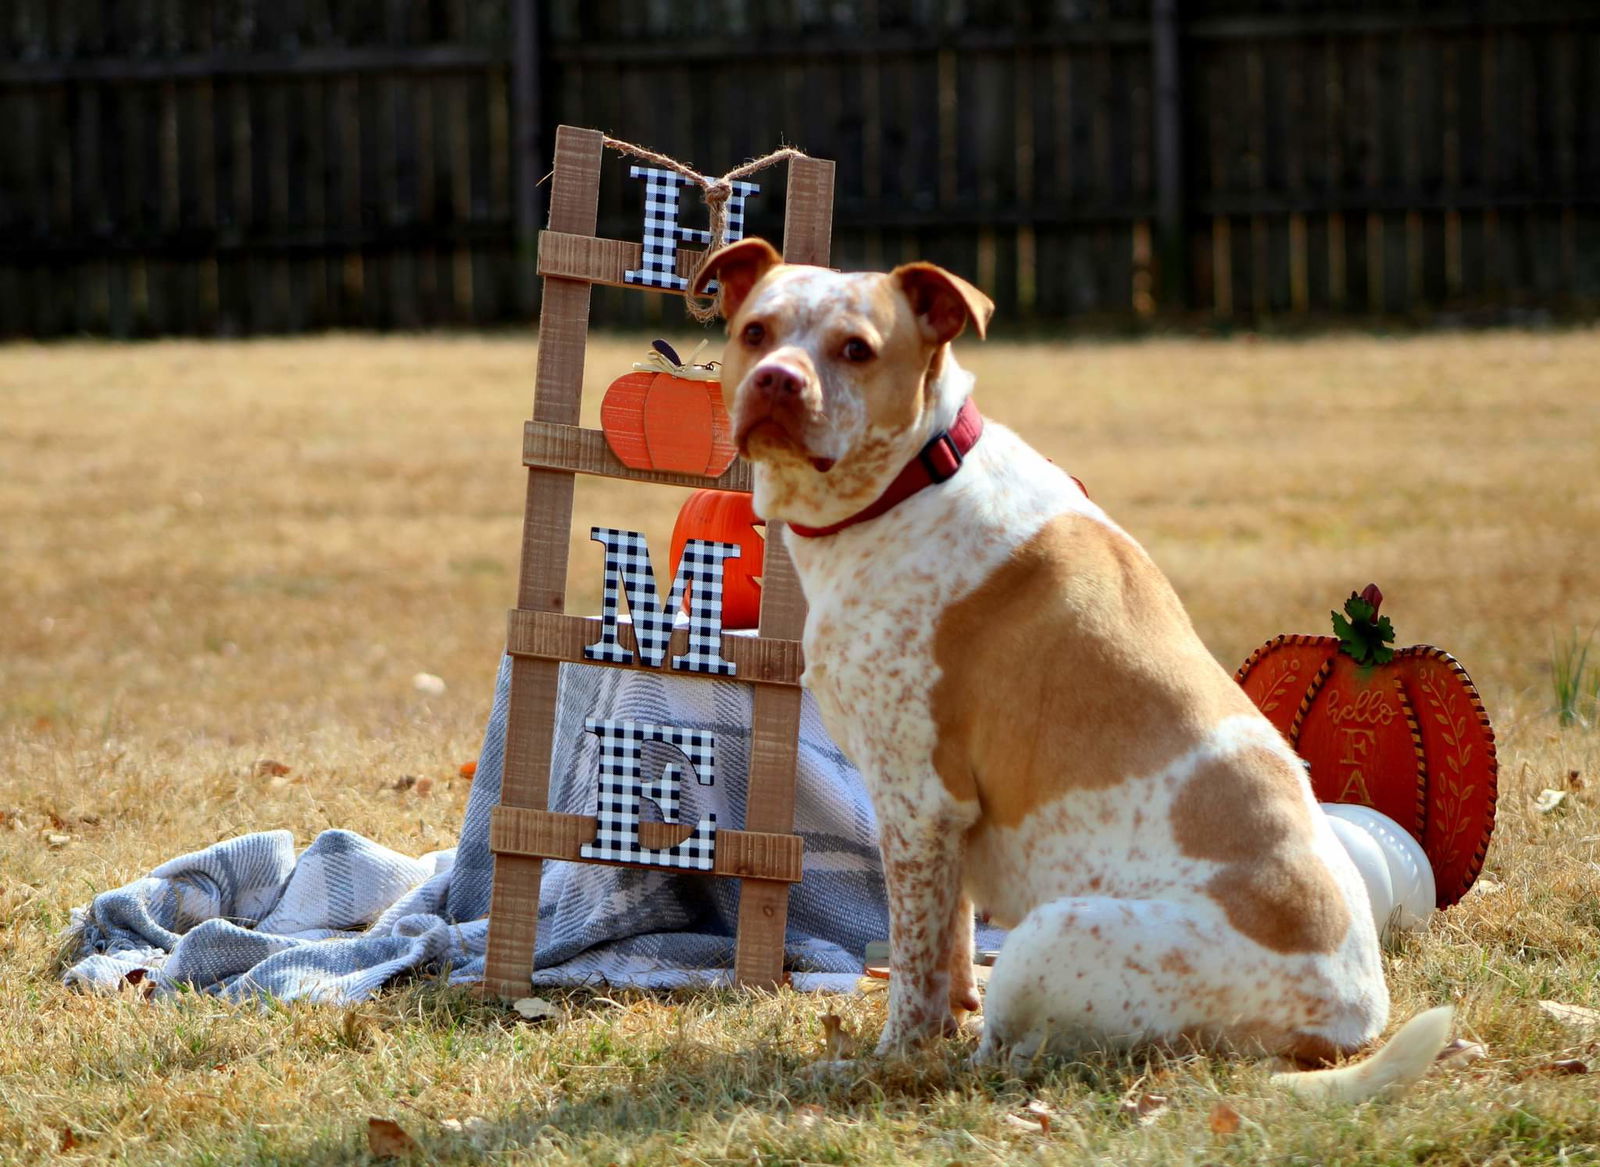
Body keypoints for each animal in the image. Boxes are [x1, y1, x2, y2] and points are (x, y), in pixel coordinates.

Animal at [694, 233, 1459, 1094]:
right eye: (756, 333)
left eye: (856, 348)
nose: (776, 380)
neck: (915, 479)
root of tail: (1349, 1021)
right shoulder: (941, 825)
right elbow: (948, 945)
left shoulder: (917, 800)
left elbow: (918, 978)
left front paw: (891, 1061)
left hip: (1046, 934)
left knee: (1005, 1056)